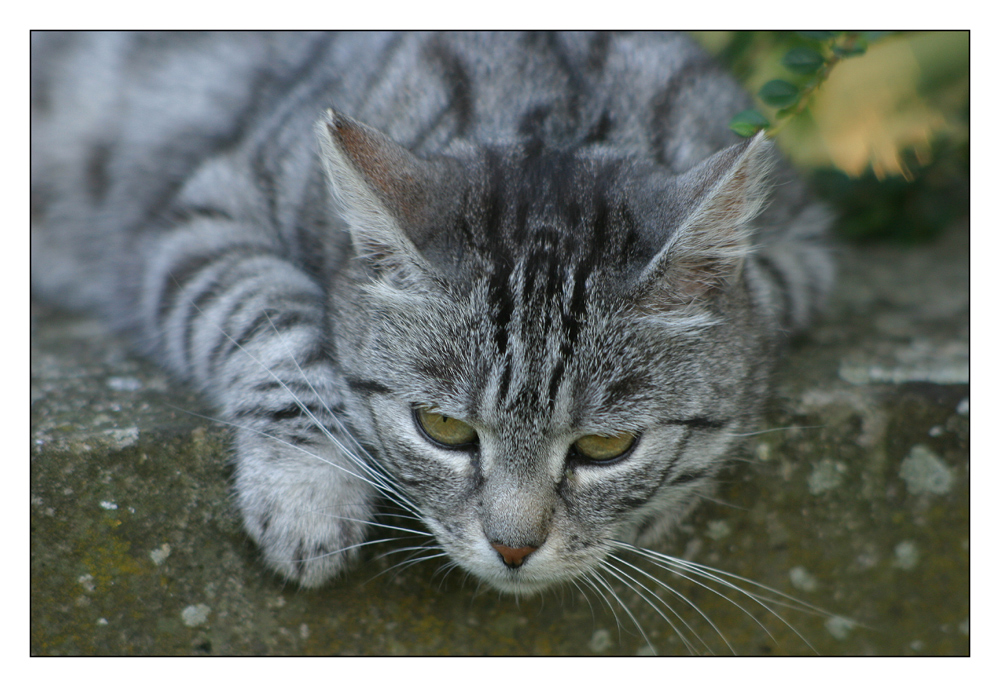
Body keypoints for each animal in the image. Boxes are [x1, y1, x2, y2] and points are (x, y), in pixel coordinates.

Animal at [31, 30, 832, 612]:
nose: (514, 548)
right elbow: (270, 320)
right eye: (442, 428)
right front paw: (308, 488)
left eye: (606, 446)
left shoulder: (802, 249)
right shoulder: (209, 211)